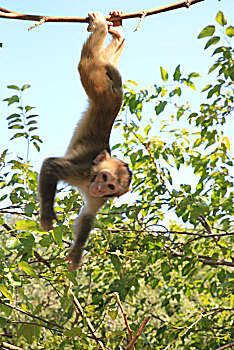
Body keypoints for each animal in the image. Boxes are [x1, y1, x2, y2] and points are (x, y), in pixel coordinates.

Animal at [39, 10, 133, 270]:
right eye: (103, 177)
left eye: (110, 187)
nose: (99, 187)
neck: (90, 178)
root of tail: (116, 94)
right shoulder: (82, 172)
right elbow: (50, 165)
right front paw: (47, 216)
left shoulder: (99, 200)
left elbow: (88, 217)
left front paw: (75, 254)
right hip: (99, 86)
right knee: (88, 62)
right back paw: (101, 27)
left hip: (105, 86)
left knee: (107, 60)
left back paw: (118, 33)